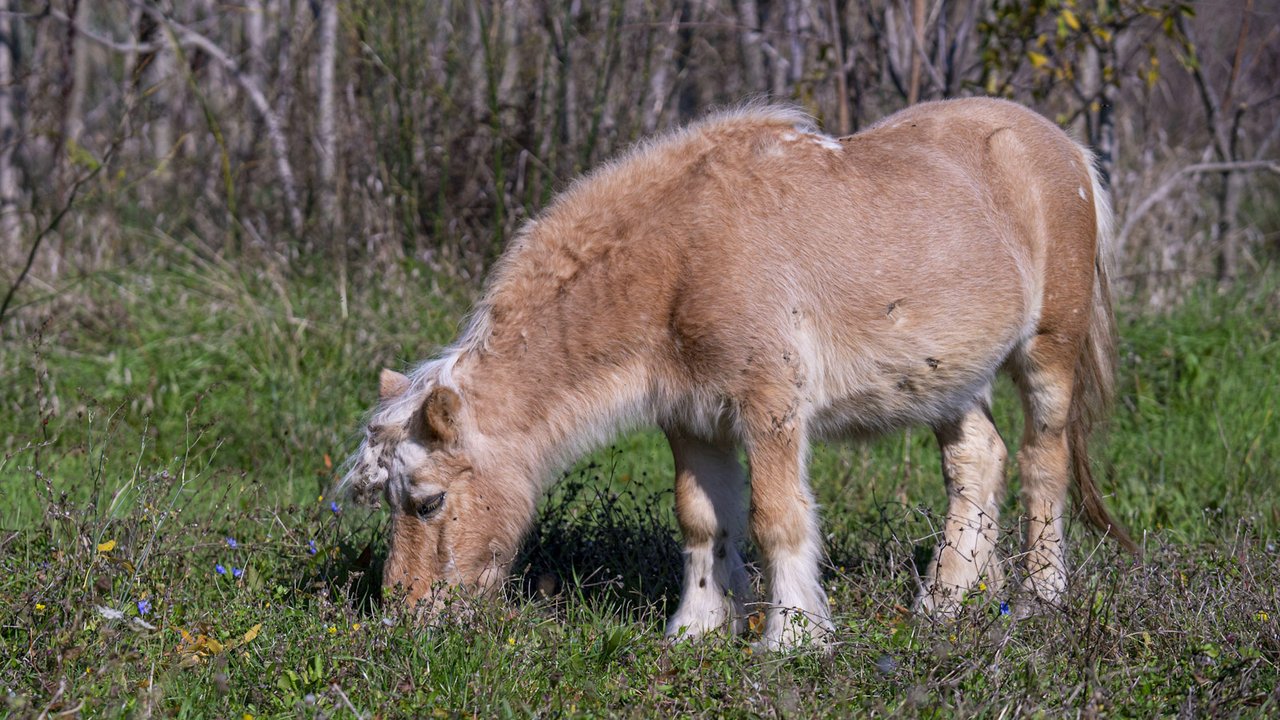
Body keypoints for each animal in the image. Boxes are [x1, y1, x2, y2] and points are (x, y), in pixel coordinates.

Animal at [340, 98, 1131, 648]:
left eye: (428, 502)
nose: (404, 620)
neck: (682, 257)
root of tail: (1064, 146)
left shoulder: (769, 407)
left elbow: (776, 518)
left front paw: (792, 638)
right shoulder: (692, 419)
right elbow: (700, 519)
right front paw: (694, 628)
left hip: (1048, 353)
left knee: (1041, 463)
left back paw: (1038, 598)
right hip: (949, 379)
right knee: (976, 462)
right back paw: (945, 604)